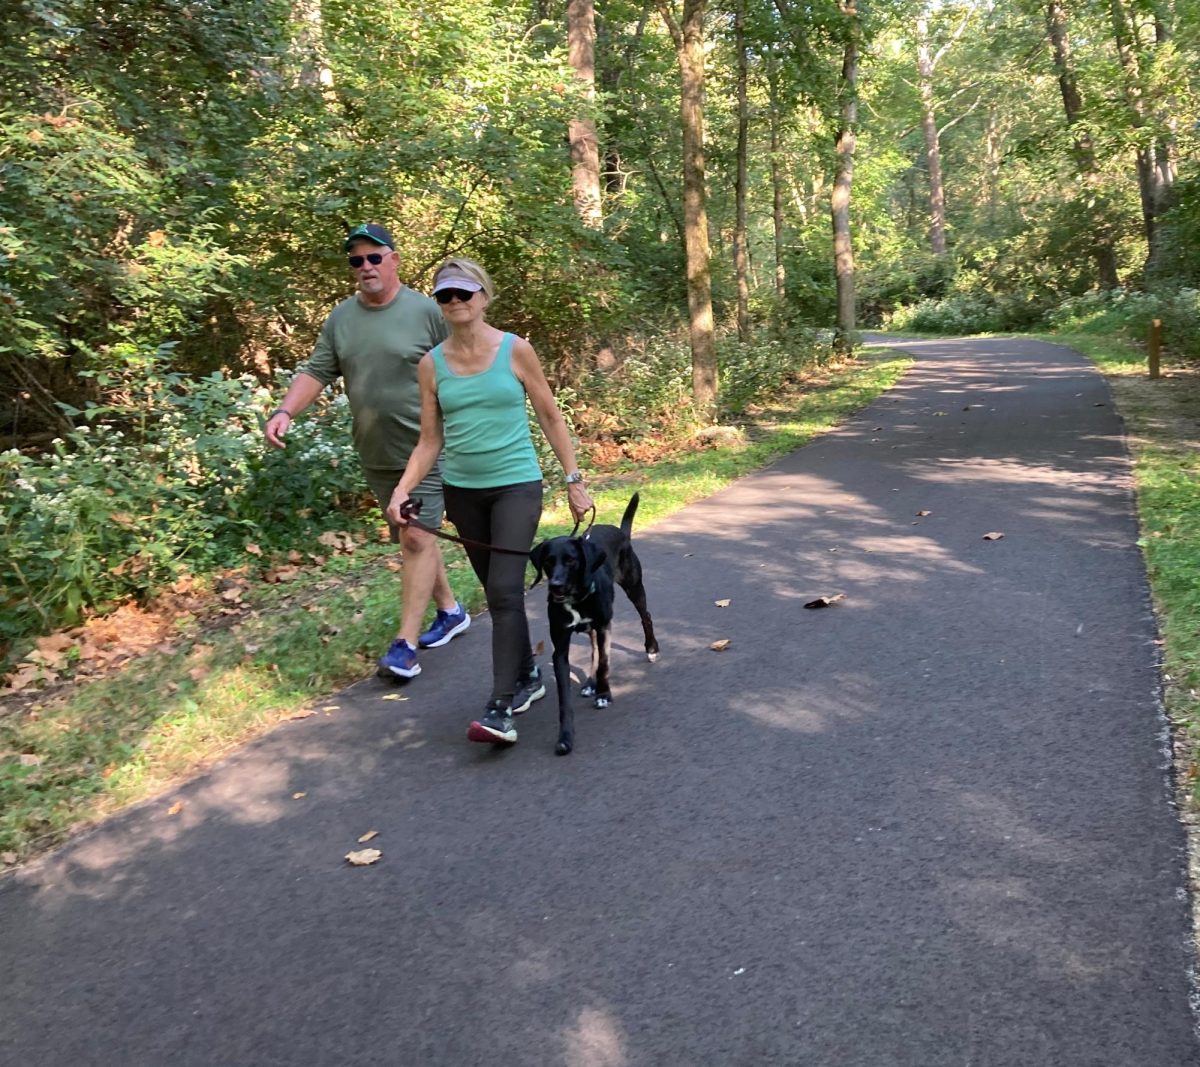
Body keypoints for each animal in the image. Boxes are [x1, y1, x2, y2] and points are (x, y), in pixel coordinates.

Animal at [528, 494, 657, 753]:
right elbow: (564, 698)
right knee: (594, 649)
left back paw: (651, 648)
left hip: (634, 587)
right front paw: (565, 736)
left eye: (571, 561)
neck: (576, 598)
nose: (555, 586)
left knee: (645, 616)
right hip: (593, 628)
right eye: (548, 561)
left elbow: (605, 663)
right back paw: (589, 683)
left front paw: (604, 694)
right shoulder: (561, 648)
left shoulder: (605, 626)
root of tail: (620, 531)